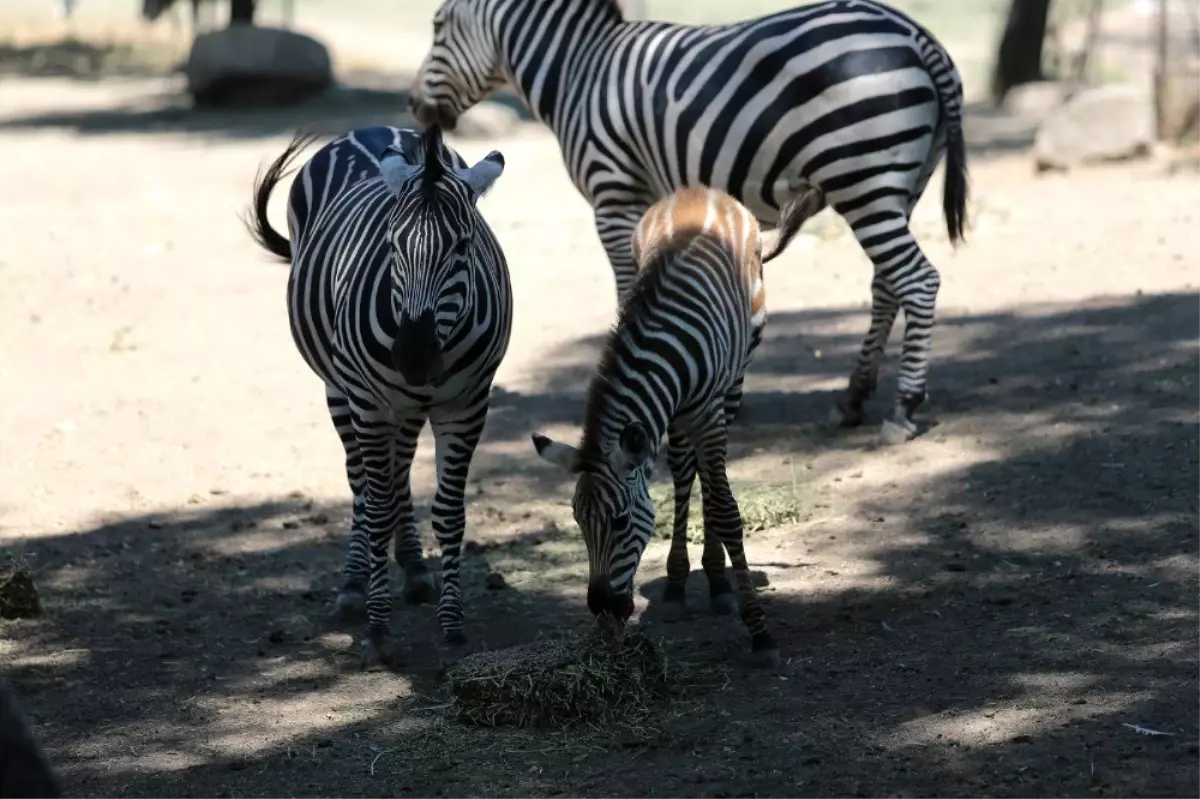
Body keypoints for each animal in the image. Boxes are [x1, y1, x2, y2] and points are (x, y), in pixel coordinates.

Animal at [243, 124, 511, 667]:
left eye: (463, 246)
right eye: (392, 245)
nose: (414, 357)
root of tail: (372, 130)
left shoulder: (467, 405)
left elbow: (449, 513)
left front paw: (452, 627)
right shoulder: (369, 404)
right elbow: (377, 504)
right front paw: (379, 629)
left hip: (405, 407)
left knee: (399, 469)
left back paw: (414, 569)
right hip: (342, 390)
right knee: (362, 482)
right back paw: (353, 585)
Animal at [408, 0, 969, 443]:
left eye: (437, 26)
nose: (414, 106)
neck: (578, 72)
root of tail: (917, 36)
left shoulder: (613, 195)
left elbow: (628, 291)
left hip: (863, 179)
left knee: (918, 280)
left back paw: (903, 409)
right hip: (897, 187)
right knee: (887, 285)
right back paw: (852, 400)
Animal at [532, 183, 820, 662]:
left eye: (619, 523)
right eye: (577, 522)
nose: (602, 609)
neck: (665, 348)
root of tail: (699, 189)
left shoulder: (708, 412)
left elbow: (726, 508)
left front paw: (759, 630)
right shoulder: (674, 412)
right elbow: (689, 480)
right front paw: (682, 586)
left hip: (734, 381)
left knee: (708, 473)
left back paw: (718, 581)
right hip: (681, 416)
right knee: (687, 470)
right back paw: (683, 583)